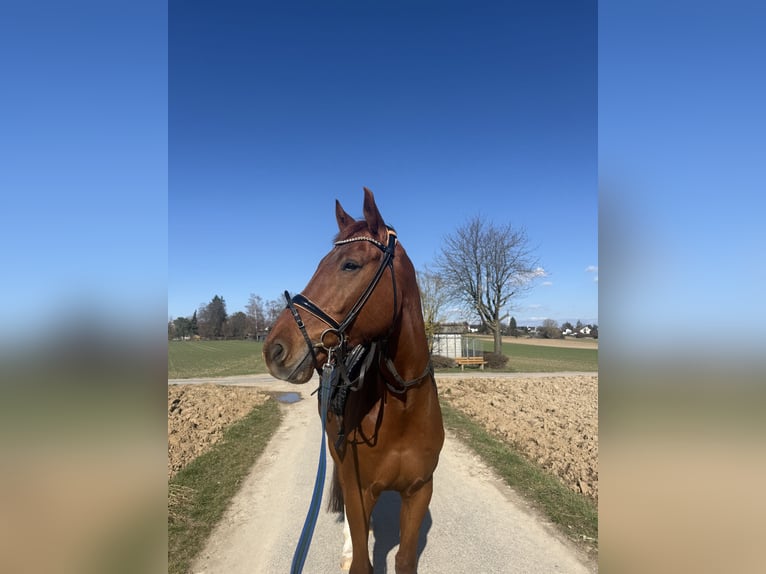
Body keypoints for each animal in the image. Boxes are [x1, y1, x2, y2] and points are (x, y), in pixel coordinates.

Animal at [263, 188, 444, 574]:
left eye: (350, 265)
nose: (274, 349)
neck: (403, 402)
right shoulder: (359, 489)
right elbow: (361, 558)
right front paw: (352, 550)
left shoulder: (419, 491)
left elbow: (405, 560)